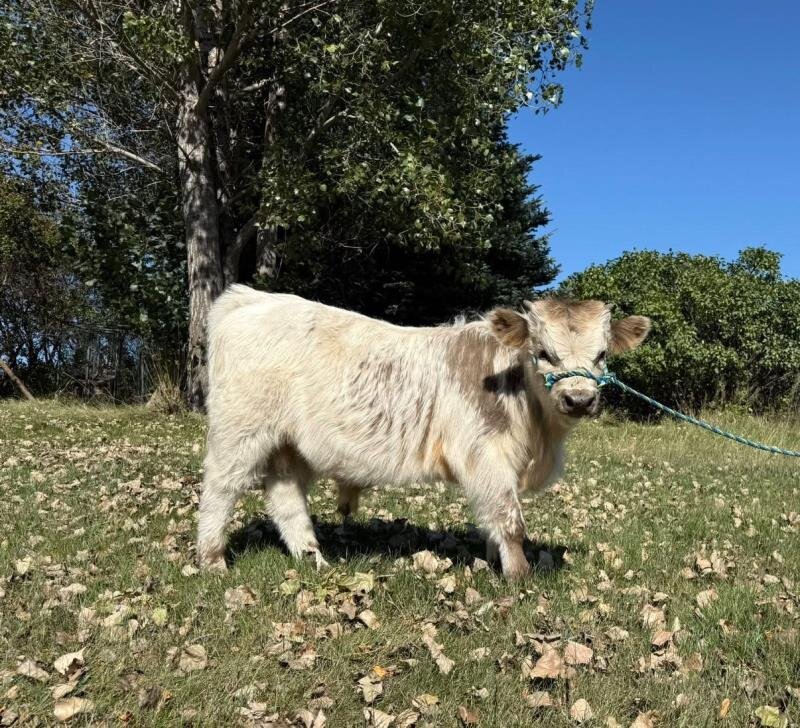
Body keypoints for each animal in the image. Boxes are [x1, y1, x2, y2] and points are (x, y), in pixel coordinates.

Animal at [196, 285, 650, 579]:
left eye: (602, 354)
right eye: (543, 352)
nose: (579, 399)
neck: (539, 438)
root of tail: (251, 298)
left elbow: (493, 517)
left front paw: (494, 560)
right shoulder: (486, 454)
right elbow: (508, 517)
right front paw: (519, 577)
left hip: (289, 445)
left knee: (285, 496)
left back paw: (313, 559)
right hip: (239, 432)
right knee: (219, 491)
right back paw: (213, 561)